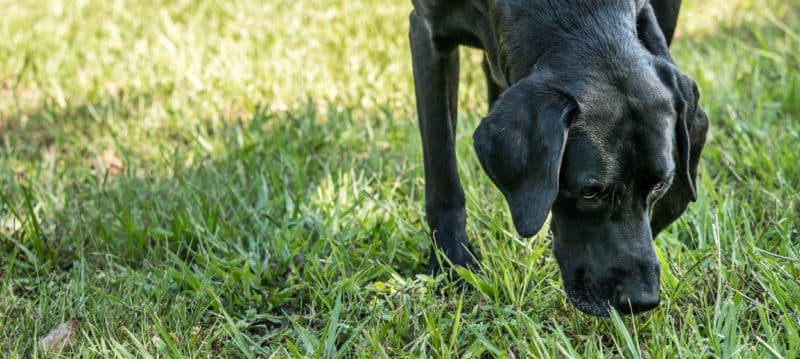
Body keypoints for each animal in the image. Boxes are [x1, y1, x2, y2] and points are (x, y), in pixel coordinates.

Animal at [410, 0, 708, 316]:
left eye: (658, 185)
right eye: (590, 192)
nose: (641, 301)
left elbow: (694, 139)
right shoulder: (427, 33)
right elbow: (442, 168)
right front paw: (452, 265)